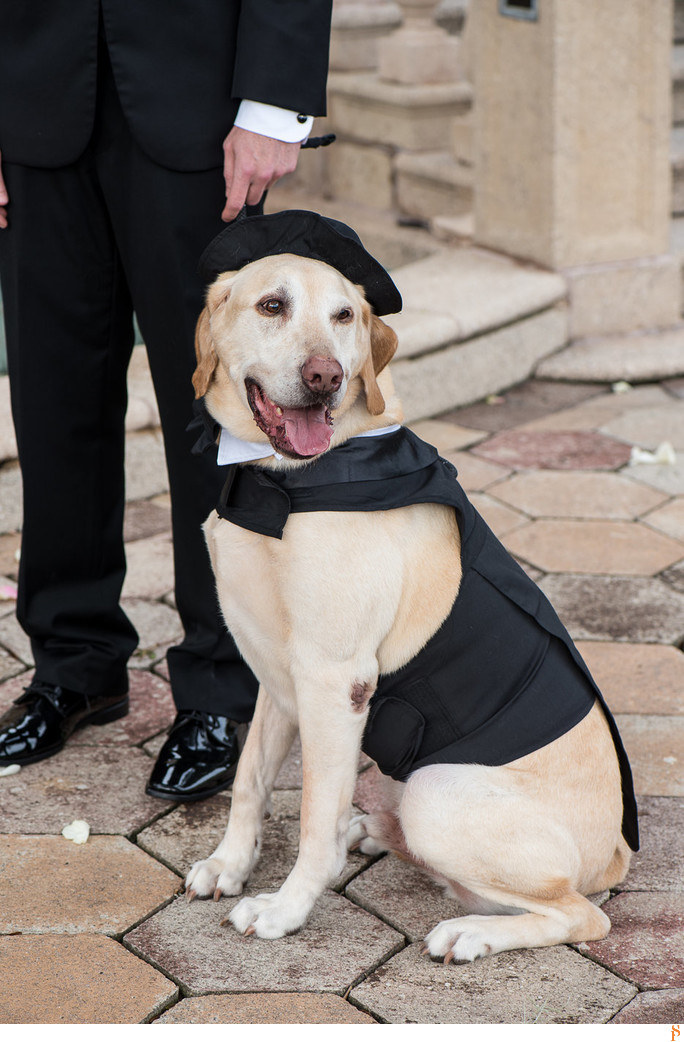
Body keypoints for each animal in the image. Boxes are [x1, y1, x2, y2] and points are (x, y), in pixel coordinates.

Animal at [185, 209, 633, 958]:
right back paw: (372, 834)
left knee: (579, 914)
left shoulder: (336, 679)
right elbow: (250, 780)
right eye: (272, 305)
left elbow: (312, 816)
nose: (326, 376)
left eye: (343, 315)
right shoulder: (277, 669)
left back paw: (468, 930)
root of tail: (618, 856)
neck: (281, 483)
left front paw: (285, 908)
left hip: (437, 792)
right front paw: (229, 865)